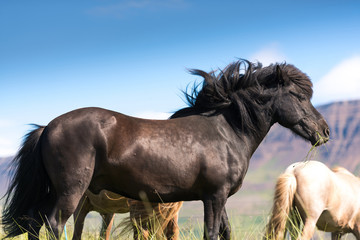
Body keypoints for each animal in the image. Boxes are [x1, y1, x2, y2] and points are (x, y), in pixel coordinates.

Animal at [2, 59, 330, 238]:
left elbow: (225, 232)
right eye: (298, 96)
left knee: (33, 223)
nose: (324, 132)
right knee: (53, 224)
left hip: (53, 191)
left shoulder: (220, 197)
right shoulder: (213, 197)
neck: (225, 132)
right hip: (70, 192)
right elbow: (212, 233)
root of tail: (47, 127)